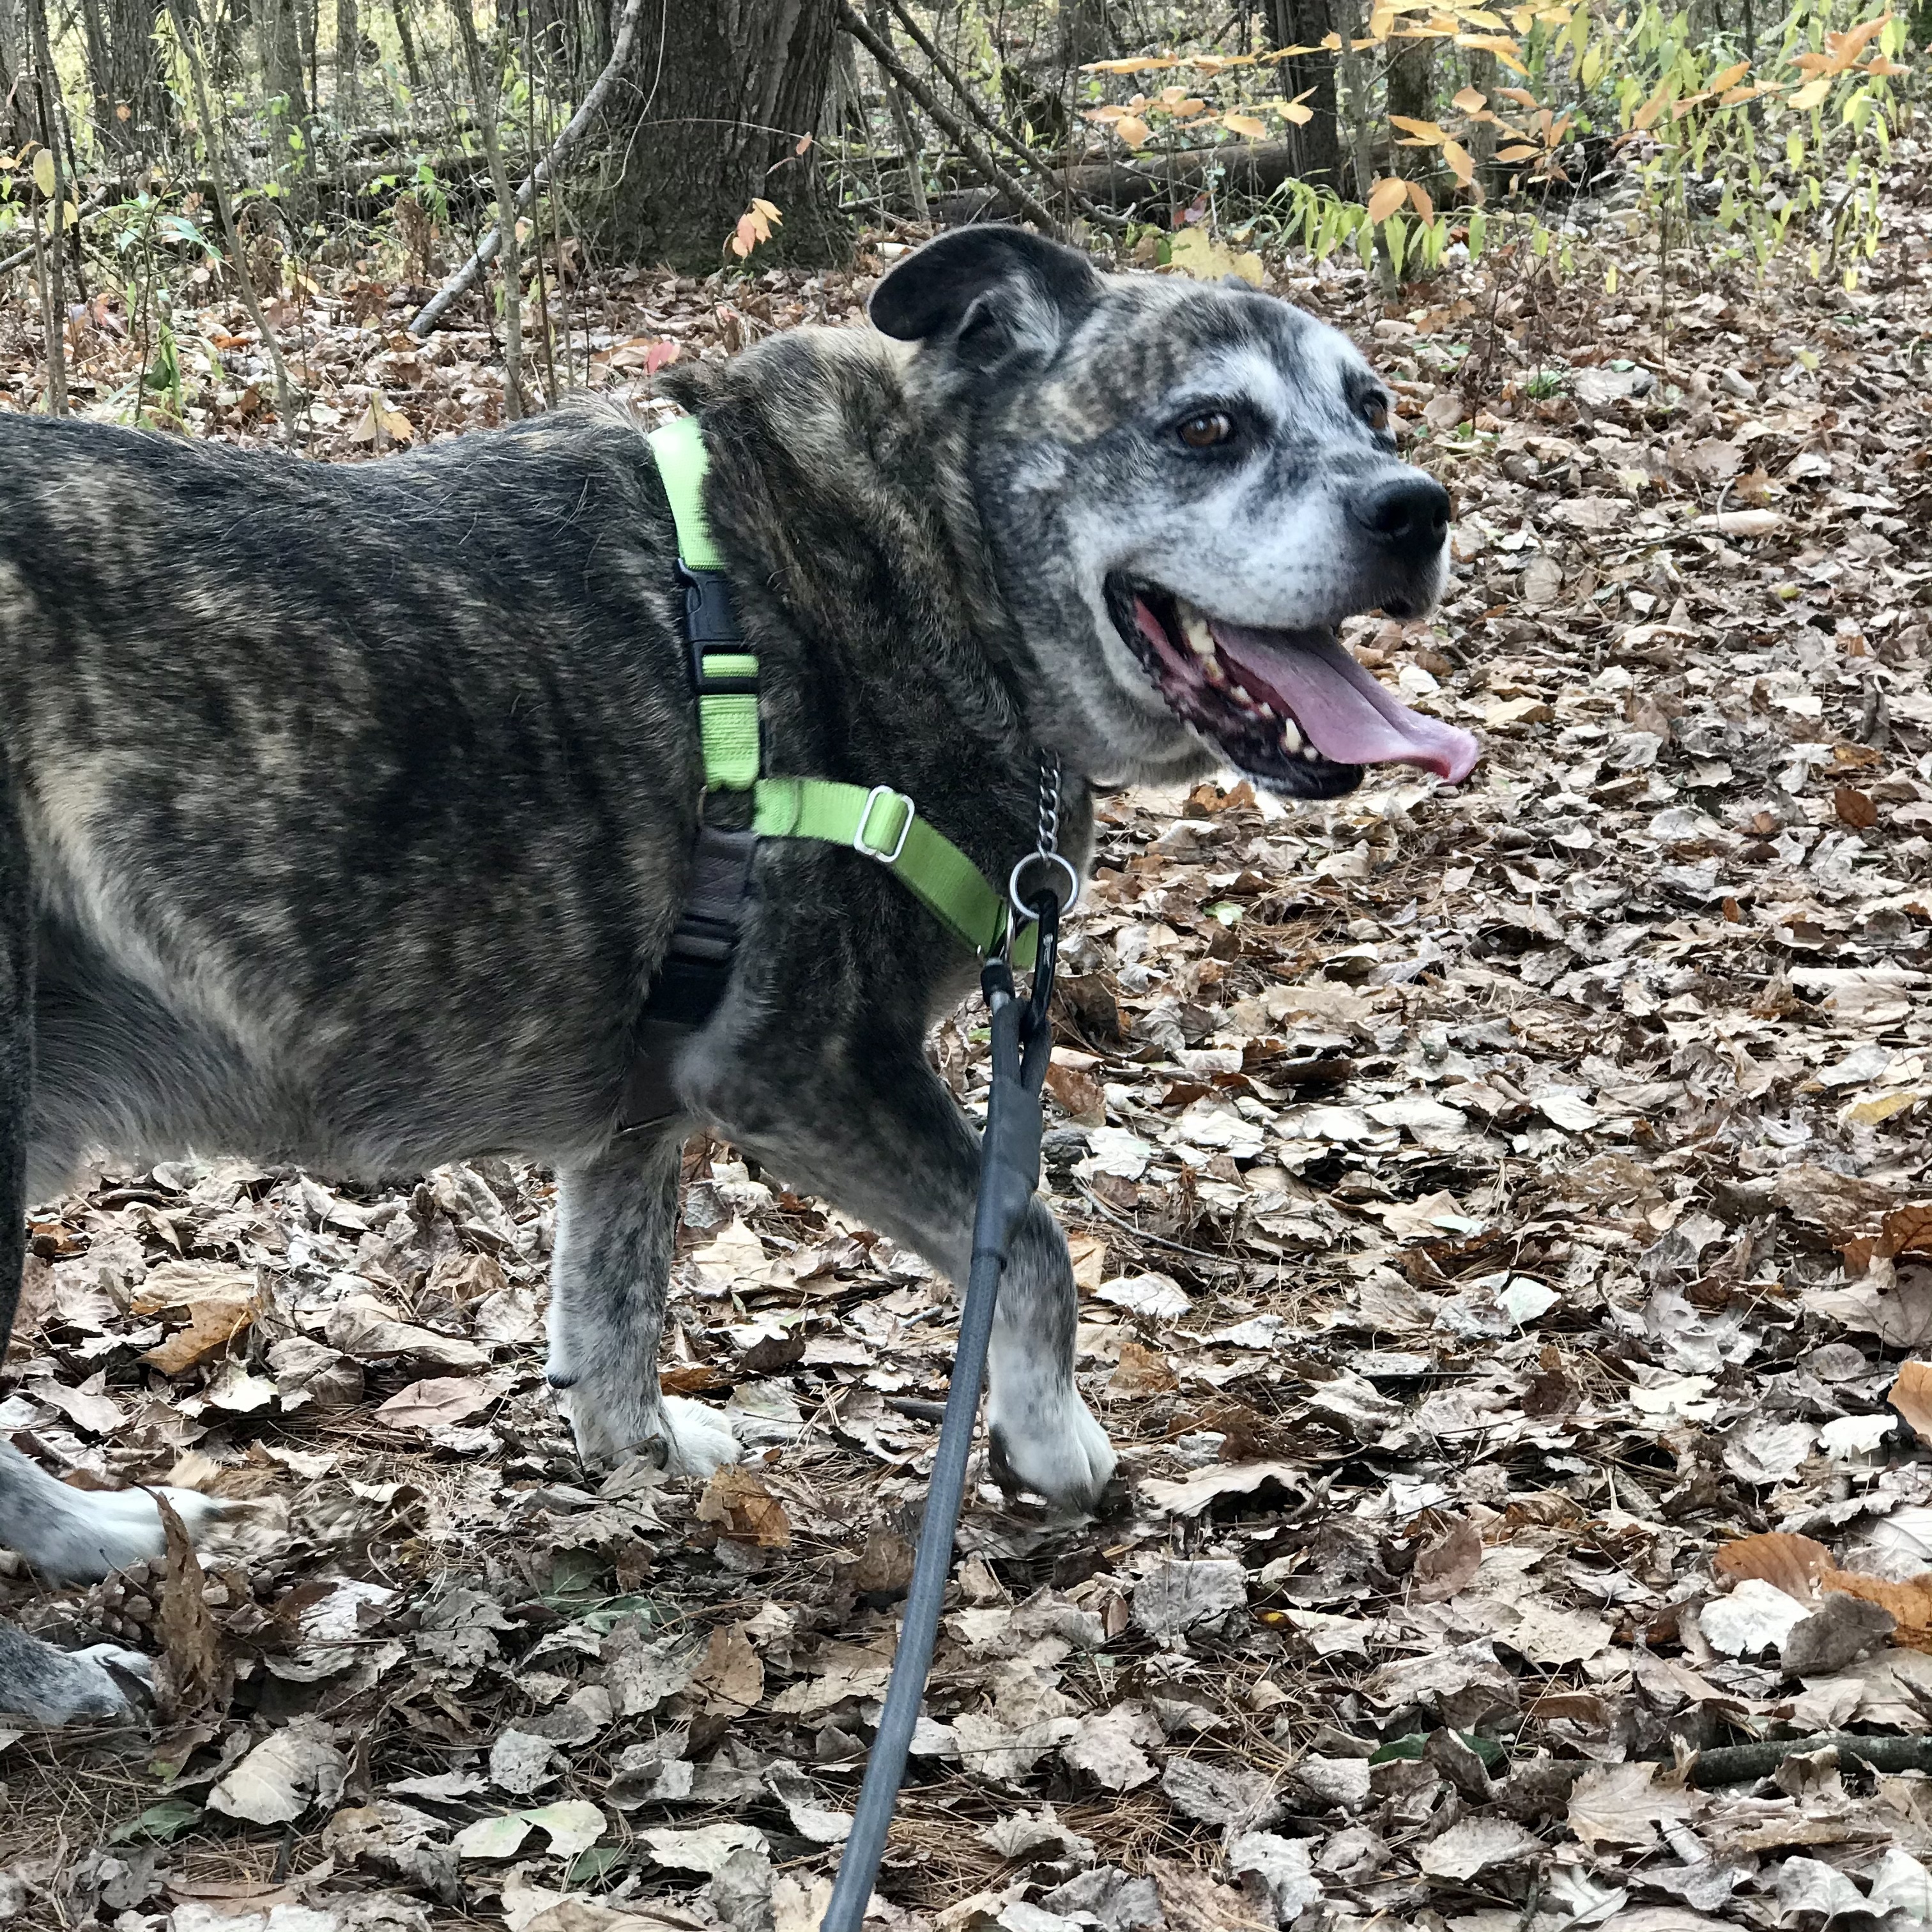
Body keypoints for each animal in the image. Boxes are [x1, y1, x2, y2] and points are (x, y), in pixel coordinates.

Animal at [0, 229, 1468, 1723]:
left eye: (1372, 408)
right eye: (1207, 427)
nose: (1418, 510)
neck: (929, 550)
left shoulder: (644, 1103)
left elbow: (613, 1309)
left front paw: (637, 1455)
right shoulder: (806, 1065)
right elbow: (1036, 1242)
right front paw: (1052, 1442)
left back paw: (98, 1536)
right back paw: (51, 1677)